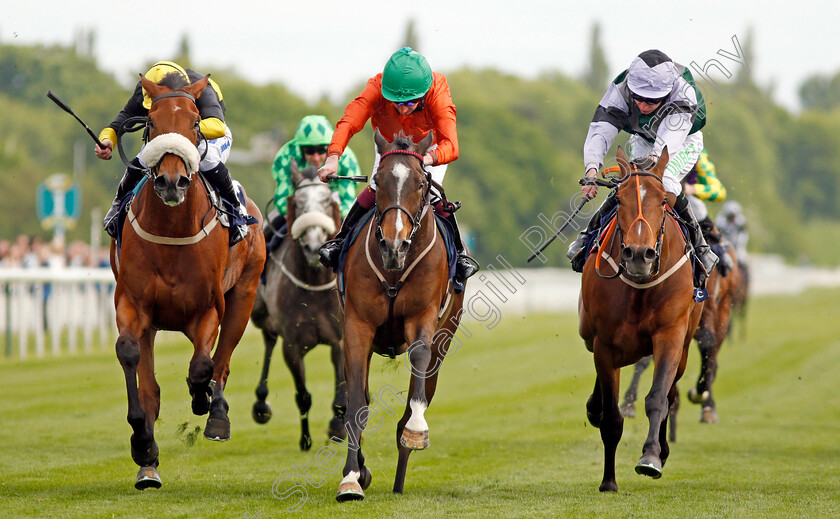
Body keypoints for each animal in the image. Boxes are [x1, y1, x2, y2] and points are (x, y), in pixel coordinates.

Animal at [110, 73, 264, 492]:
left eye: (195, 123)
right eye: (151, 123)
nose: (171, 182)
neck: (172, 230)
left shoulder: (208, 308)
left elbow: (202, 367)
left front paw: (203, 400)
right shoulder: (132, 305)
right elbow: (131, 359)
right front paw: (143, 444)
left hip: (245, 295)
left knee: (222, 362)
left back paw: (217, 415)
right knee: (152, 386)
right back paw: (148, 465)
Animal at [248, 159, 346, 450]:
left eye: (327, 200)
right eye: (299, 203)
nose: (314, 246)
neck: (313, 282)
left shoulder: (339, 341)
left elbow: (341, 393)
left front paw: (337, 427)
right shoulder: (292, 345)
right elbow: (303, 396)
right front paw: (305, 439)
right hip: (260, 313)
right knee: (269, 338)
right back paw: (261, 404)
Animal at [334, 131, 466, 504]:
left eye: (421, 183)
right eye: (377, 182)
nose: (394, 245)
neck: (394, 269)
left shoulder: (423, 318)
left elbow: (418, 361)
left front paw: (416, 431)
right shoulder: (357, 326)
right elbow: (356, 403)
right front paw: (351, 477)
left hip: (446, 335)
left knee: (417, 395)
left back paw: (401, 469)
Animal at [576, 146, 704, 492]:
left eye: (662, 200)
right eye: (619, 199)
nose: (637, 254)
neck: (641, 286)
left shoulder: (671, 335)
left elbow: (658, 397)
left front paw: (650, 457)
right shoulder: (606, 344)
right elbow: (611, 417)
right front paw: (608, 481)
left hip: (684, 345)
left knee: (671, 392)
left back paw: (663, 448)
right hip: (592, 335)